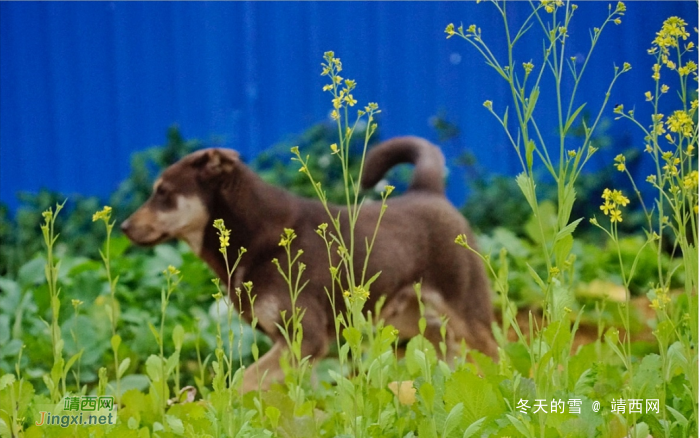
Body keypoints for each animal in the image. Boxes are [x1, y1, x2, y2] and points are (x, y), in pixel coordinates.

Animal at [123, 136, 500, 390]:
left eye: (163, 192)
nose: (124, 227)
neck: (256, 235)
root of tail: (429, 191)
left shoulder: (306, 339)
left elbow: (244, 381)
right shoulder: (289, 344)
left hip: (467, 310)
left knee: (491, 349)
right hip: (403, 315)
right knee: (441, 340)